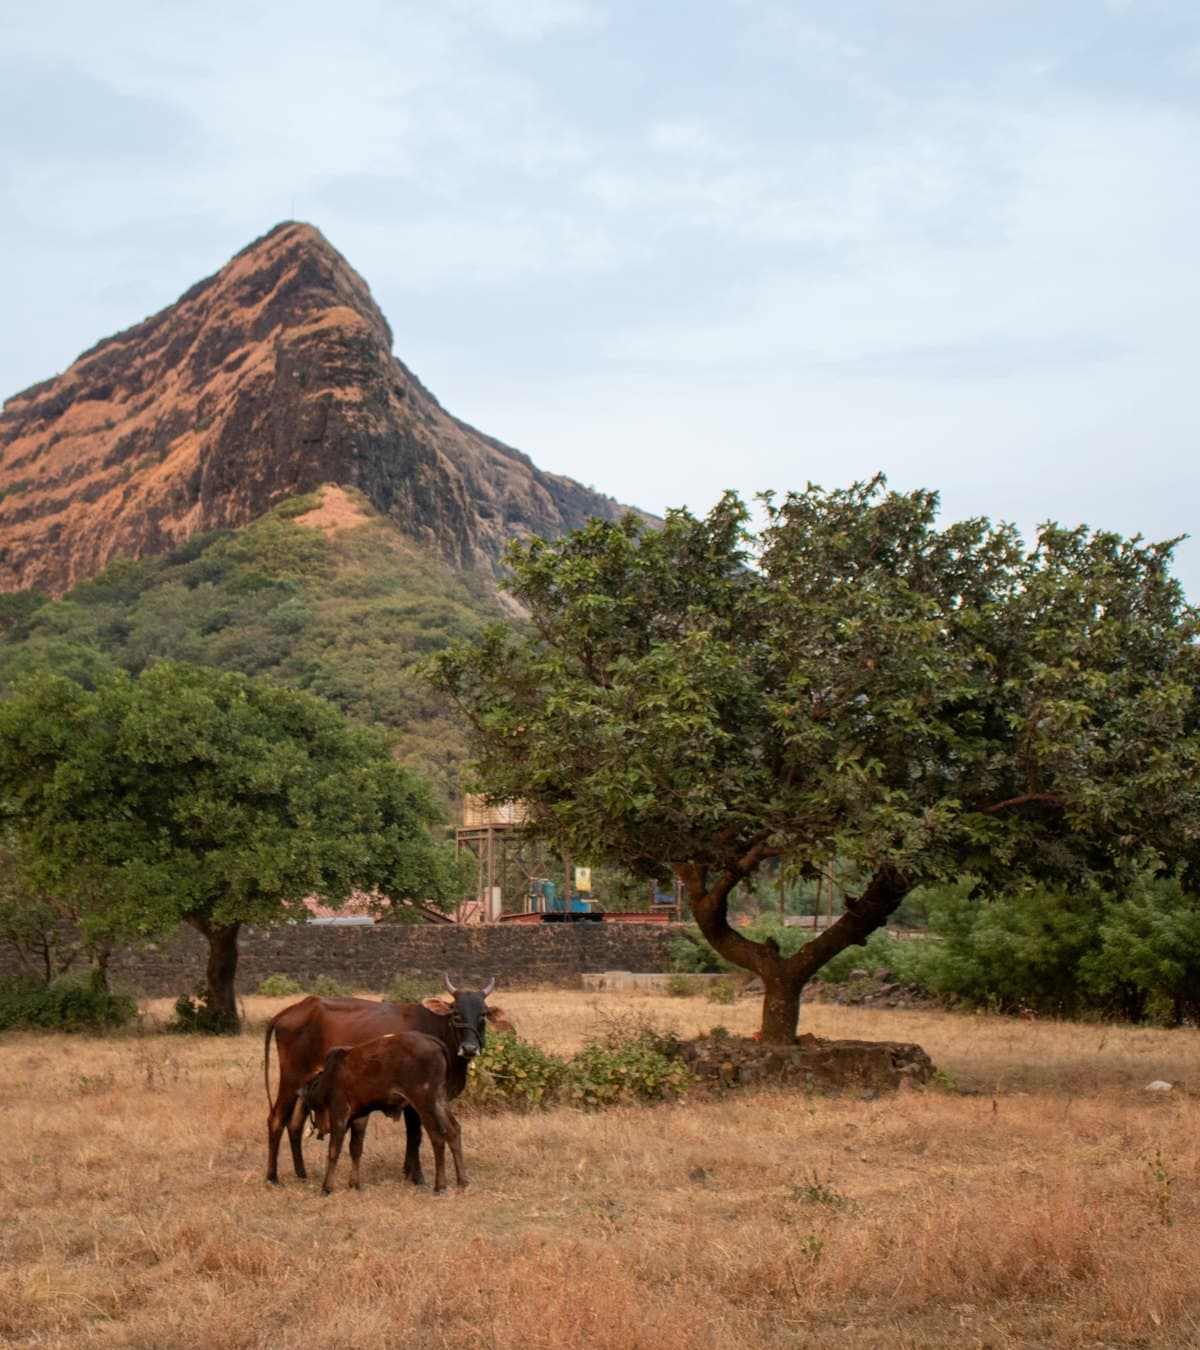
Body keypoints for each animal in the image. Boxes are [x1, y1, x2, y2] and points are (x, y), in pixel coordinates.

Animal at [298, 1031, 467, 1194]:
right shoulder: (360, 1117)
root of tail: (431, 1041)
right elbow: (355, 1148)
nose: (320, 1130)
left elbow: (334, 1151)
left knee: (438, 1137)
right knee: (454, 1131)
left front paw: (326, 1187)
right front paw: (354, 1184)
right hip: (439, 1101)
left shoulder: (339, 1113)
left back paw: (440, 1186)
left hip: (425, 1103)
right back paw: (462, 1182)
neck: (329, 1076)